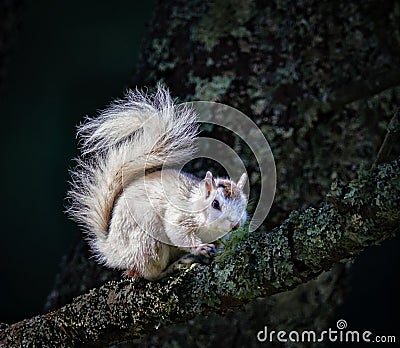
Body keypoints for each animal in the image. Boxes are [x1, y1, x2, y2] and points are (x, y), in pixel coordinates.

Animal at [67, 86, 248, 280]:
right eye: (215, 204)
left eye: (244, 205)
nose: (235, 225)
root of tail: (112, 250)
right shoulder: (180, 216)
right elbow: (179, 234)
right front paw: (201, 248)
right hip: (149, 242)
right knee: (149, 273)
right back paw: (172, 267)